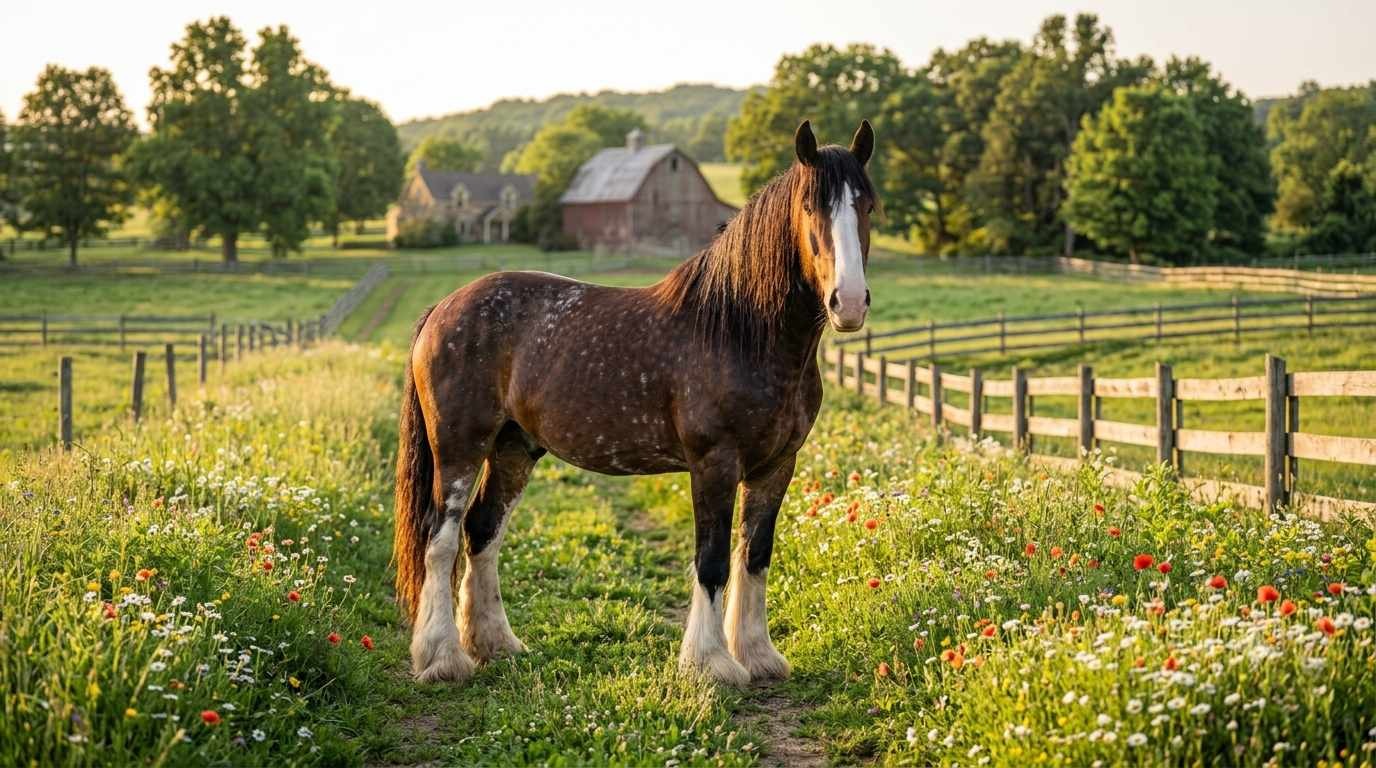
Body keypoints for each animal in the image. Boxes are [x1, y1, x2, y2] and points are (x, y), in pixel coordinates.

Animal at [393, 119, 877, 685]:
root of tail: (443, 307)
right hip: (459, 447)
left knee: (482, 530)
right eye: (809, 207)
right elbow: (712, 558)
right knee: (441, 539)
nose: (848, 302)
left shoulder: (777, 466)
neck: (741, 330)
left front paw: (758, 654)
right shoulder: (714, 463)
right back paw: (443, 657)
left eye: (868, 205)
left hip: (513, 447)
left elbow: (754, 554)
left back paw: (495, 643)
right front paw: (711, 662)